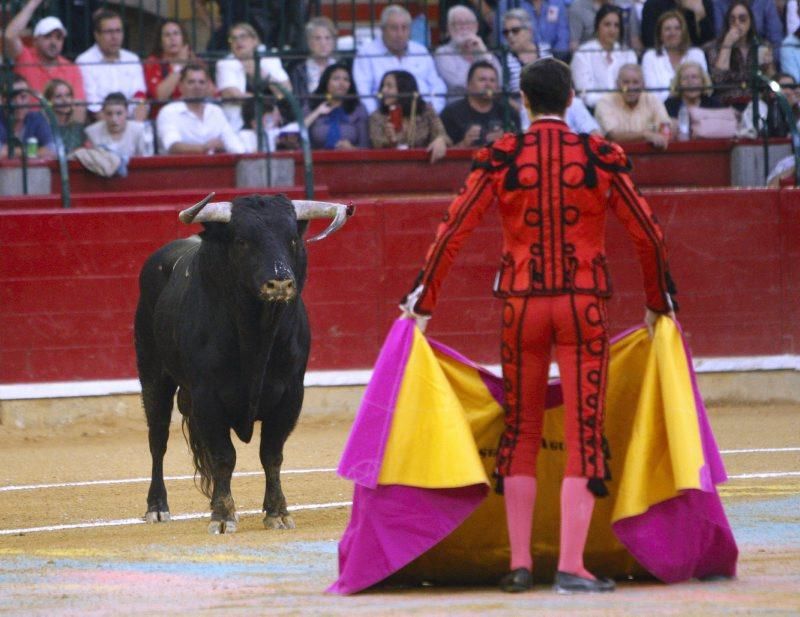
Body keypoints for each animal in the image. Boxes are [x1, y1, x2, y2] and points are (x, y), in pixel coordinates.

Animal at [134, 195, 350, 532]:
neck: (256, 334)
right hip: (153, 373)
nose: (280, 284)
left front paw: (277, 512)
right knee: (157, 439)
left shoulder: (291, 395)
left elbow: (271, 454)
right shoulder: (207, 398)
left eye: (292, 238)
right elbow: (224, 456)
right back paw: (157, 507)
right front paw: (223, 516)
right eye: (243, 241)